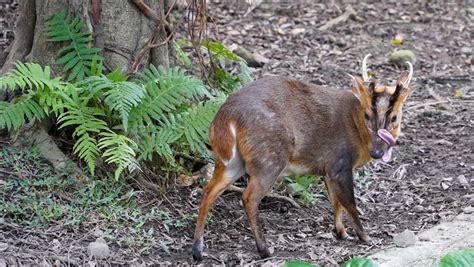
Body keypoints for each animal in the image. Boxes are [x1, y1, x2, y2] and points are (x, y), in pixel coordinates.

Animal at [191, 55, 412, 262]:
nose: (377, 152)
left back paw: (197, 250)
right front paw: (364, 236)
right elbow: (348, 201)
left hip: (231, 161)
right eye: (367, 115)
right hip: (269, 158)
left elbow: (335, 202)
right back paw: (264, 249)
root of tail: (226, 117)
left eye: (394, 117)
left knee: (209, 190)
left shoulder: (328, 169)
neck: (357, 131)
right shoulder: (340, 162)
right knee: (248, 197)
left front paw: (341, 233)